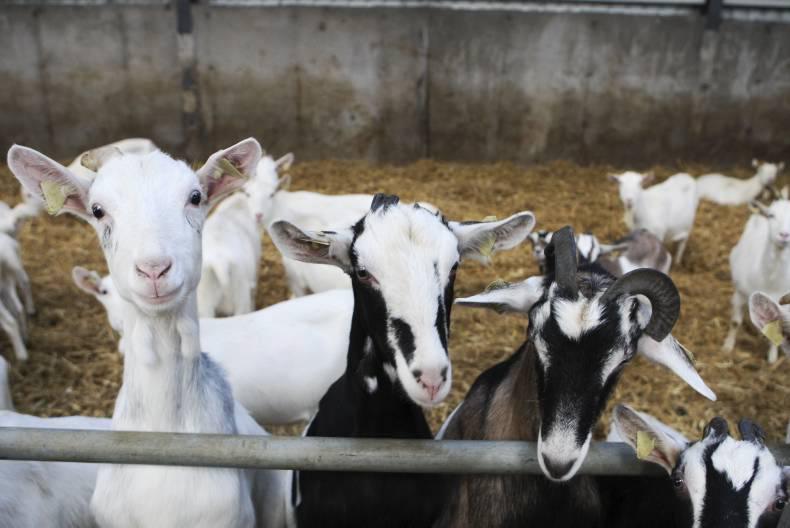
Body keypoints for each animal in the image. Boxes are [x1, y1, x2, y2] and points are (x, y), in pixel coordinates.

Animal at [723, 196, 790, 362]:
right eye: (771, 215)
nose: (784, 235)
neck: (769, 280)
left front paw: (772, 358)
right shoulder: (740, 292)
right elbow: (735, 322)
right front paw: (727, 347)